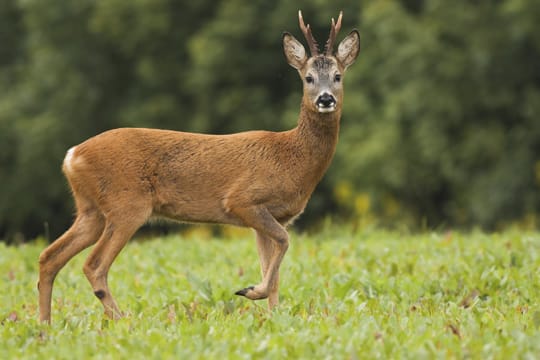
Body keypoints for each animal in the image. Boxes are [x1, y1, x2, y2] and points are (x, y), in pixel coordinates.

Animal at [37, 9, 358, 322]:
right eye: (308, 78)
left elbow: (274, 268)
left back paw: (45, 325)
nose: (325, 99)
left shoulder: (274, 216)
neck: (292, 158)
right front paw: (250, 291)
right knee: (93, 265)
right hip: (126, 205)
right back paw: (121, 320)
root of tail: (72, 156)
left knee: (49, 256)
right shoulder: (243, 200)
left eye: (338, 76)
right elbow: (284, 242)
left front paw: (272, 315)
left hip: (91, 210)